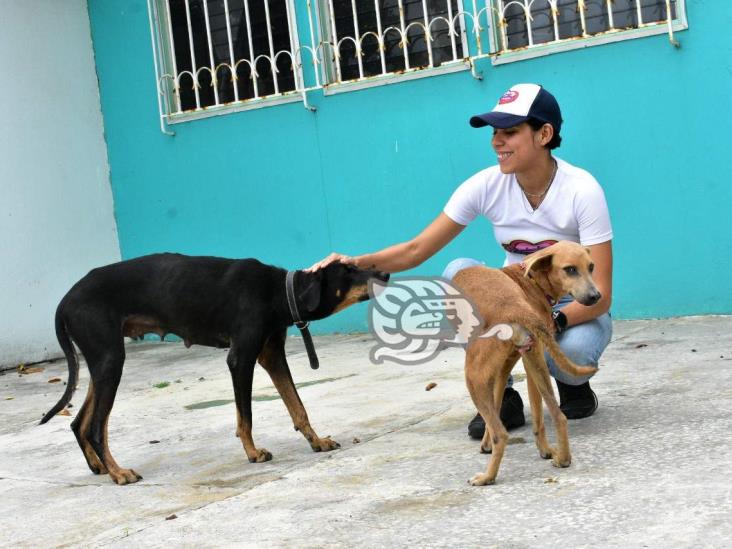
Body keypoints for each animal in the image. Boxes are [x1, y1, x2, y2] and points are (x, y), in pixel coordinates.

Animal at [41, 253, 388, 484]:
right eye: (350, 270)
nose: (385, 273)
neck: (277, 291)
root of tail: (64, 301)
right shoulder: (241, 358)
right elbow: (246, 416)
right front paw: (252, 453)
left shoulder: (272, 356)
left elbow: (297, 406)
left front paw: (316, 441)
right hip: (111, 360)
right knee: (96, 427)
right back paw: (118, 472)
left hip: (102, 362)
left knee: (79, 423)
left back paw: (99, 467)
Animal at [454, 240, 604, 484]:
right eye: (570, 269)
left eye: (590, 267)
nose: (595, 296)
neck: (531, 281)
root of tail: (515, 306)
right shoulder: (518, 361)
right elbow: (508, 404)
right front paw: (543, 450)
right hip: (534, 365)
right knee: (558, 416)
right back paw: (562, 458)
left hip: (473, 376)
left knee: (501, 434)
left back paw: (487, 476)